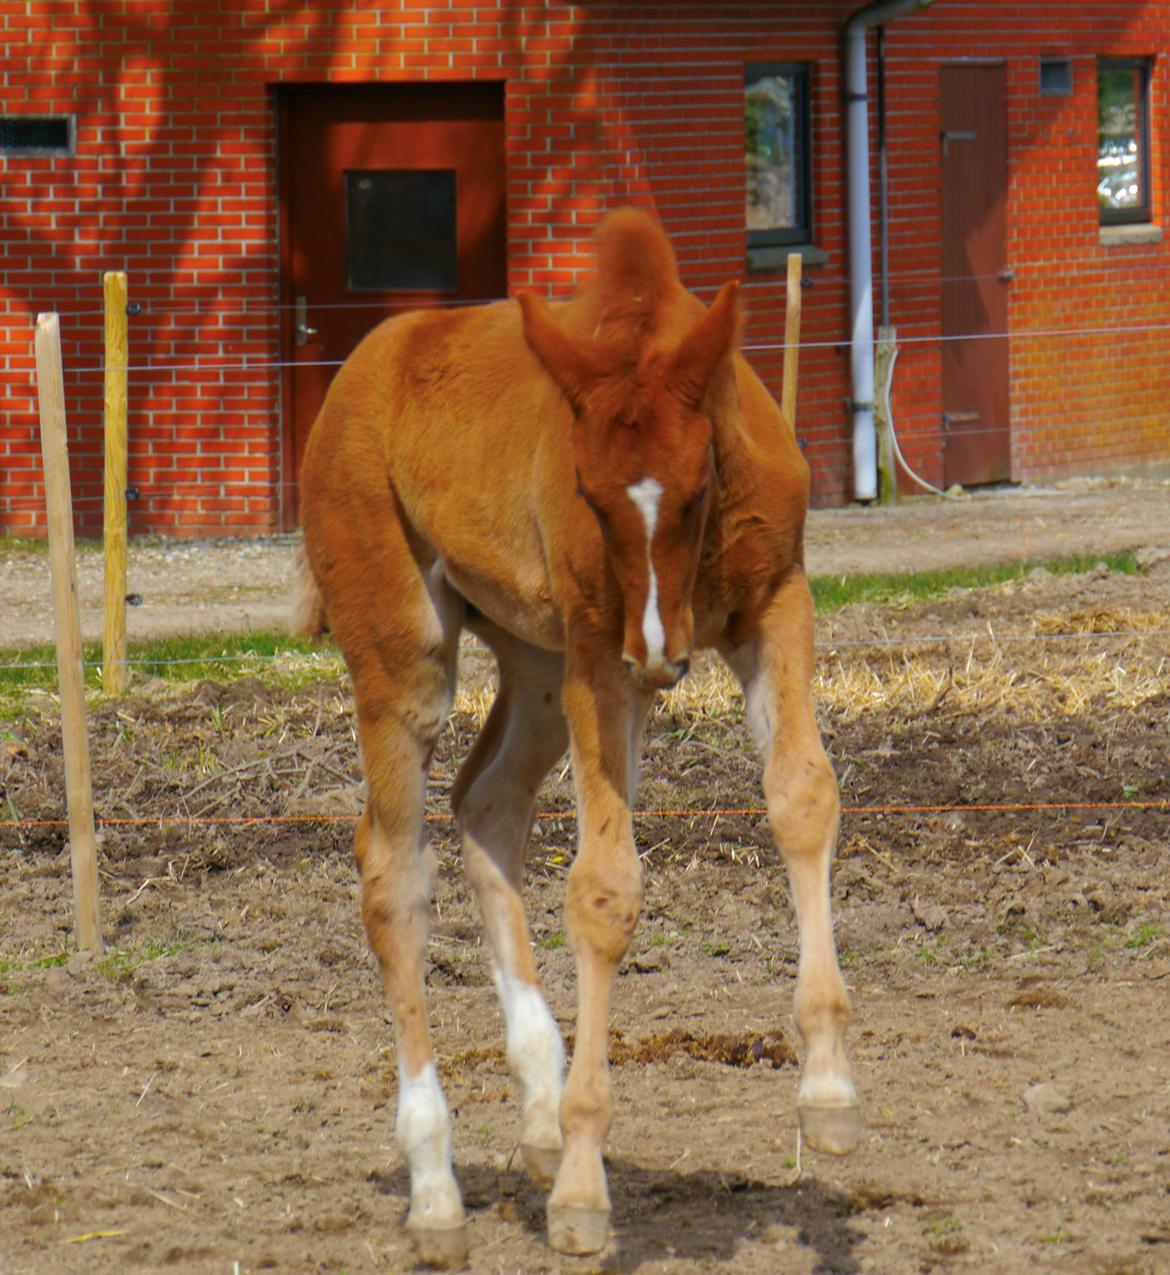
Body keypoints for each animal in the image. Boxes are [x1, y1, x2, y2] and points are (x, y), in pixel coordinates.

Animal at [293, 209, 861, 1264]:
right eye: (589, 495)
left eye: (695, 486)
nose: (662, 653)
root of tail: (359, 367)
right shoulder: (602, 651)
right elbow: (605, 890)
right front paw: (585, 1193)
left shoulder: (776, 600)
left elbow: (803, 796)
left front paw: (831, 1092)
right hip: (412, 654)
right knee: (393, 871)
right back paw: (436, 1185)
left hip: (535, 661)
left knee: (486, 805)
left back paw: (542, 1109)